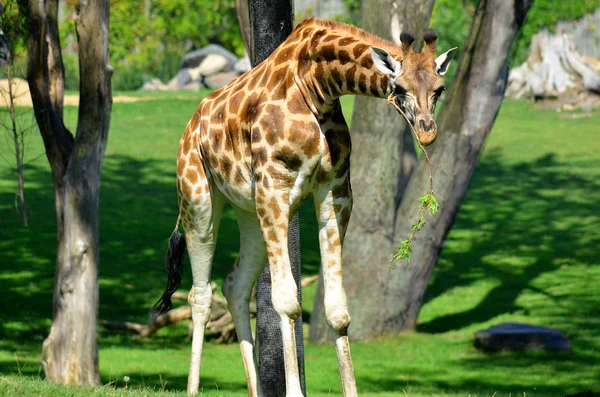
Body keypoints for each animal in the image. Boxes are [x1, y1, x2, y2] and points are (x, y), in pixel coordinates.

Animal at [152, 16, 458, 396]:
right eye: (399, 87)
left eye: (439, 88)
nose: (427, 132)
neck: (317, 89)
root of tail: (191, 125)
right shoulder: (274, 189)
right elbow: (287, 301)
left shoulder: (336, 193)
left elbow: (338, 310)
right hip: (198, 198)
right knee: (200, 295)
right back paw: (193, 388)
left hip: (248, 210)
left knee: (234, 285)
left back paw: (255, 388)